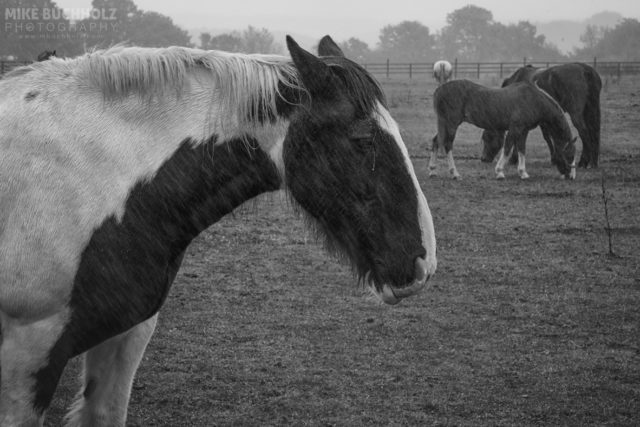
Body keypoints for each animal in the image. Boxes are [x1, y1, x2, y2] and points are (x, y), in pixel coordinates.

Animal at [430, 79, 576, 180]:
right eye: (570, 155)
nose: (571, 176)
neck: (533, 100)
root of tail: (440, 89)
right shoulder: (515, 129)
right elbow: (507, 148)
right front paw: (500, 172)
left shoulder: (524, 131)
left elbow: (522, 149)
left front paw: (523, 173)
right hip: (451, 125)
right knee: (448, 145)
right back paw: (455, 174)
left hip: (444, 125)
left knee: (436, 142)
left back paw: (432, 171)